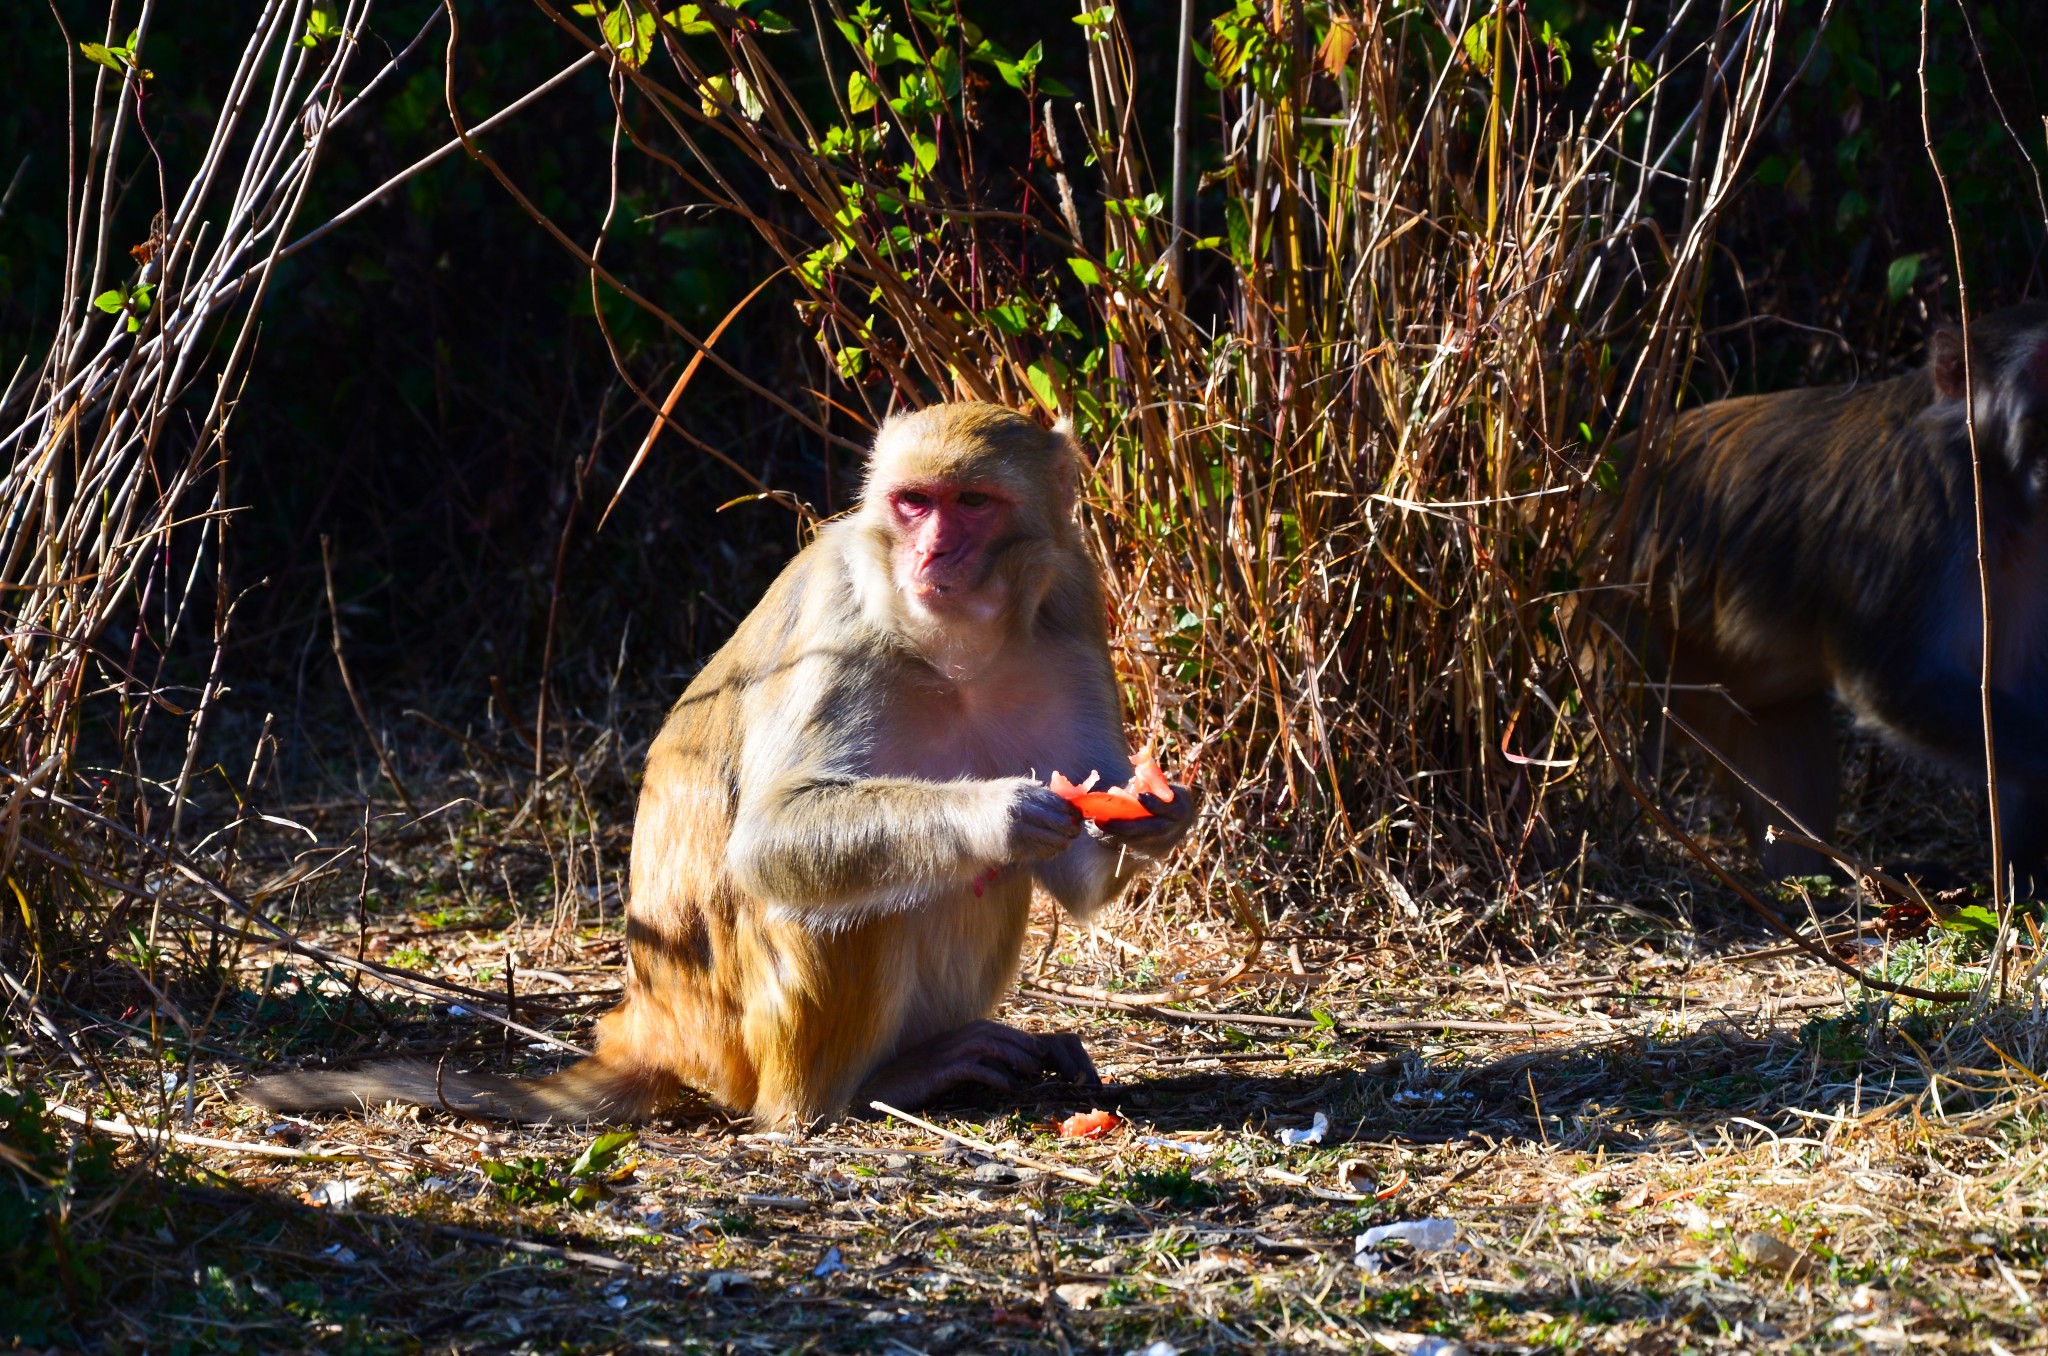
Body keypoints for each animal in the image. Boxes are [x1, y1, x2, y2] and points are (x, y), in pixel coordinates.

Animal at [245, 403, 1196, 1122]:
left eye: (972, 502)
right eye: (914, 503)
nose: (933, 555)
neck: (955, 647)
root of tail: (648, 1018)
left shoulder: (1072, 614)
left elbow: (1074, 865)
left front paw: (1161, 812)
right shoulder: (843, 623)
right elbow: (771, 840)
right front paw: (1000, 811)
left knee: (981, 881)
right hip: (744, 1037)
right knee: (859, 902)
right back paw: (860, 1092)